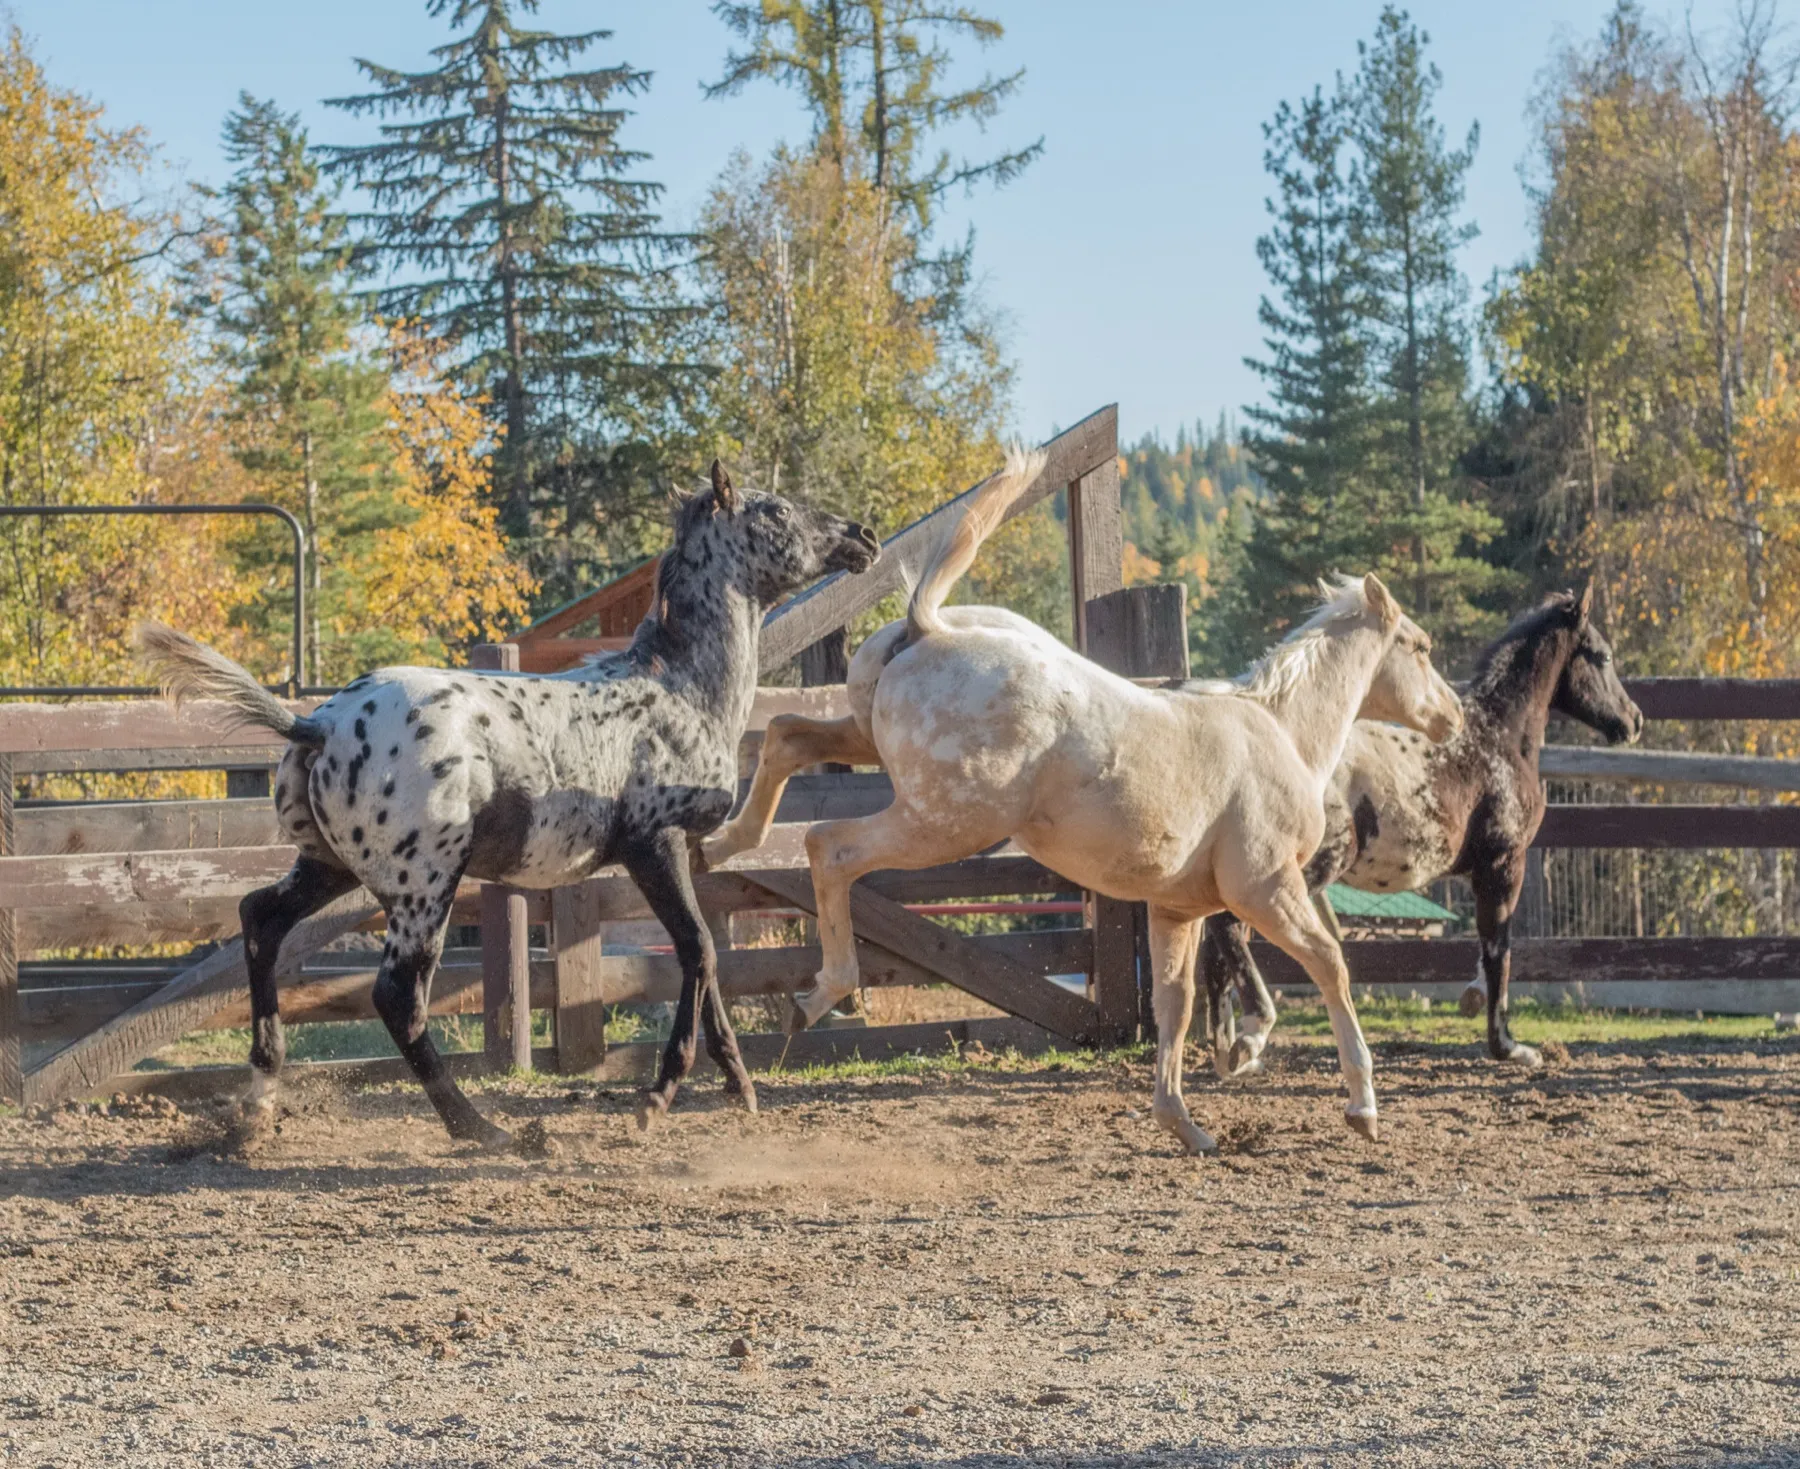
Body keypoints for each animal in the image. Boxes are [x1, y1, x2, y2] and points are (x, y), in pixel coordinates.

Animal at [136, 462, 881, 1149]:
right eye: (776, 508)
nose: (863, 536)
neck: (678, 689)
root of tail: (316, 724)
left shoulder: (682, 856)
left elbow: (707, 960)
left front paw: (739, 1085)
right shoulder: (655, 844)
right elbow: (697, 948)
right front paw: (658, 1096)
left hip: (330, 866)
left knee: (261, 918)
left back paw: (261, 1094)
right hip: (423, 887)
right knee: (396, 997)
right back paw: (481, 1127)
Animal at [700, 452, 1463, 1154]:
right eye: (1422, 646)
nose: (1453, 716)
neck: (1280, 731)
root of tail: (932, 627)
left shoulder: (1178, 907)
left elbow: (1175, 1003)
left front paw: (1184, 1123)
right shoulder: (1265, 887)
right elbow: (1331, 964)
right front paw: (1361, 1106)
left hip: (868, 743)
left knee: (785, 735)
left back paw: (721, 844)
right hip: (944, 824)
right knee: (828, 845)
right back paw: (819, 995)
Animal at [1201, 587, 1643, 1074]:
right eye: (1603, 656)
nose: (1633, 720)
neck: (1496, 741)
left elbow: (1491, 946)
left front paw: (1475, 1002)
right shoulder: (1504, 863)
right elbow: (1500, 949)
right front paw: (1510, 1047)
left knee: (1212, 948)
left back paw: (1228, 1051)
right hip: (1297, 869)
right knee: (1225, 927)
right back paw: (1249, 1039)